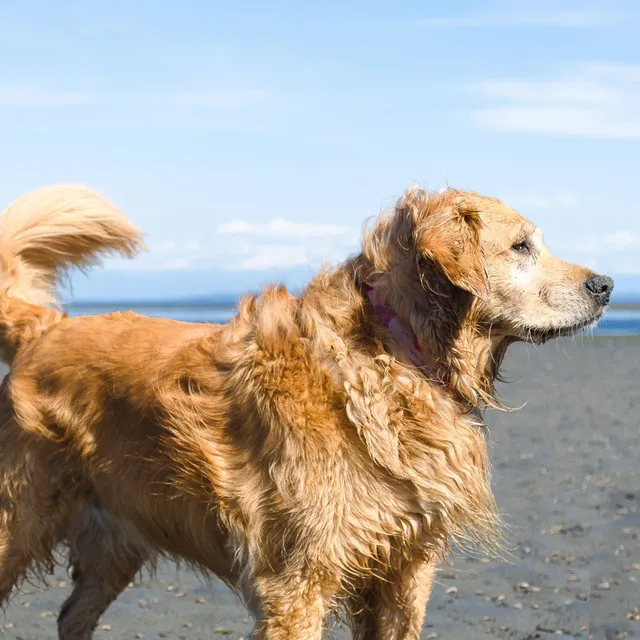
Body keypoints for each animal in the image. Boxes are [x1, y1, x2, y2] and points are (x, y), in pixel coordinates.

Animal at [0, 182, 616, 636]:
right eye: (522, 246)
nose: (608, 284)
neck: (393, 354)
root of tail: (45, 327)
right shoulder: (297, 582)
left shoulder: (406, 572)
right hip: (21, 517)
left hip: (115, 539)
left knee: (71, 616)